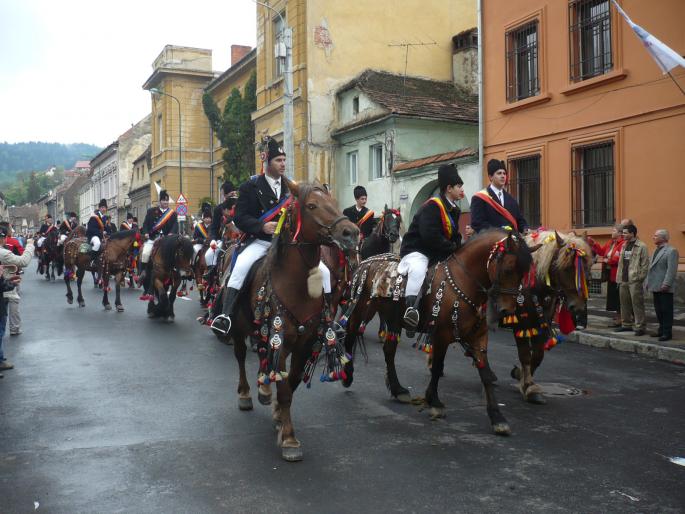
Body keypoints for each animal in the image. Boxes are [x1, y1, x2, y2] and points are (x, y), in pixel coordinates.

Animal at [215, 180, 358, 460]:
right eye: (311, 205)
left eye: (334, 203)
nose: (351, 233)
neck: (298, 286)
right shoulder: (279, 339)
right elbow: (283, 388)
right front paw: (290, 439)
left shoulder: (304, 343)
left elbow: (290, 386)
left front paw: (280, 419)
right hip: (239, 329)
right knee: (240, 356)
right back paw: (246, 394)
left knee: (262, 358)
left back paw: (263, 391)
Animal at [340, 228, 532, 432]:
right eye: (508, 269)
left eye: (524, 273)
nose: (507, 310)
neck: (463, 281)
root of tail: (365, 262)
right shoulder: (442, 335)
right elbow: (437, 367)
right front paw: (434, 402)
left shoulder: (478, 337)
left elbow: (485, 375)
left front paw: (497, 417)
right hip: (362, 310)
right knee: (350, 336)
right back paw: (348, 375)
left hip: (393, 319)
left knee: (389, 351)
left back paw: (398, 389)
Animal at [504, 229, 592, 404]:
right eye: (566, 268)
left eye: (586, 267)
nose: (578, 307)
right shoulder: (520, 325)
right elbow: (525, 355)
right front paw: (528, 386)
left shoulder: (541, 322)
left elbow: (537, 355)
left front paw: (524, 380)